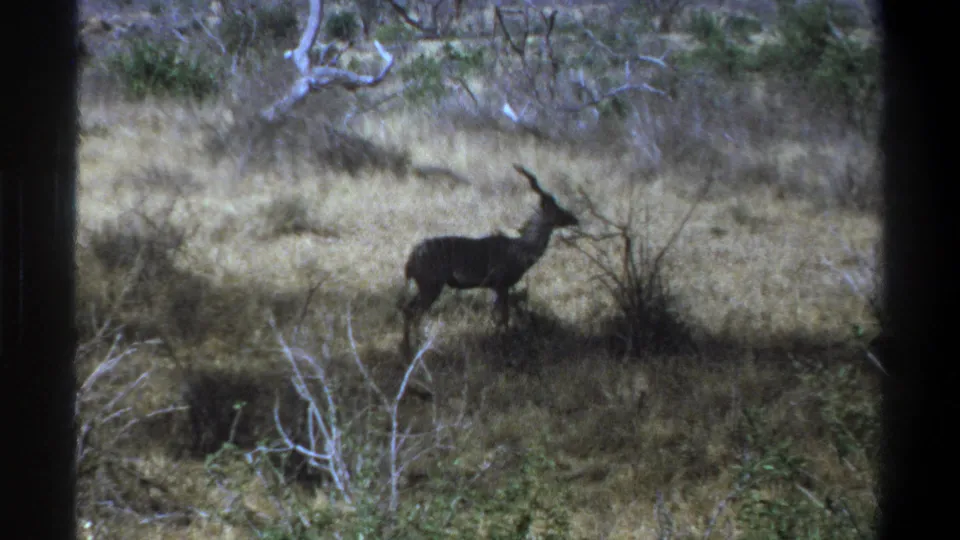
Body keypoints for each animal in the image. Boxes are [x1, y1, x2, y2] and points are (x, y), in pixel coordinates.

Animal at [400, 164, 579, 358]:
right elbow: (503, 317)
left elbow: (498, 317)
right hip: (431, 286)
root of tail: (410, 261)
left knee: (407, 309)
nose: (574, 219)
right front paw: (505, 347)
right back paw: (414, 350)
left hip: (426, 286)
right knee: (413, 311)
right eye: (557, 208)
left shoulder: (496, 287)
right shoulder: (501, 285)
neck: (520, 248)